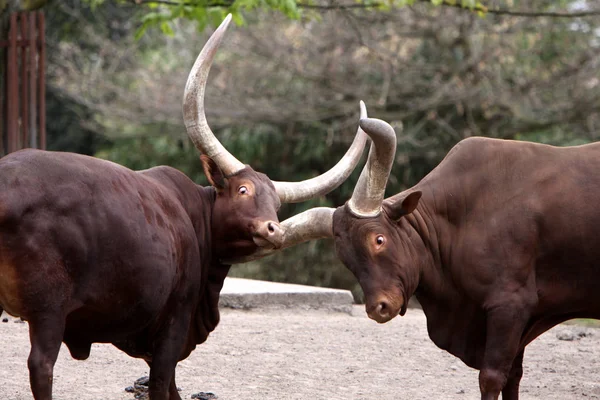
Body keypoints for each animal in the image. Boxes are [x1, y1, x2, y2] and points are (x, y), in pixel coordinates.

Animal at [0, 15, 370, 400]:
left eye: (276, 204)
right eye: (243, 189)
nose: (274, 230)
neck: (197, 218)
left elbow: (172, 385)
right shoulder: (174, 320)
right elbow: (162, 381)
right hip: (49, 309)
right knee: (41, 366)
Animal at [270, 116, 600, 400]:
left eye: (379, 239)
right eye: (345, 257)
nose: (379, 307)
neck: (461, 216)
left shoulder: (510, 306)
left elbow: (492, 377)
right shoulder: (521, 319)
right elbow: (513, 377)